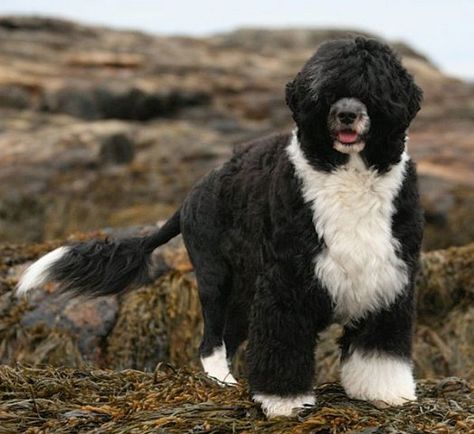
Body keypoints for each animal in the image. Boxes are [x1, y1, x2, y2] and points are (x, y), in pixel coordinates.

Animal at [17, 37, 422, 418]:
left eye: (376, 89)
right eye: (323, 91)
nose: (347, 114)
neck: (348, 173)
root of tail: (190, 197)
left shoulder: (388, 282)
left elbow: (379, 352)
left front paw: (386, 393)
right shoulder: (287, 284)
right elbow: (283, 345)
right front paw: (284, 403)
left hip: (243, 291)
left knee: (227, 336)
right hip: (216, 278)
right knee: (210, 340)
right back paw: (223, 381)